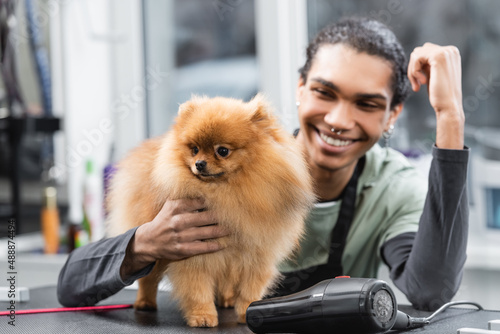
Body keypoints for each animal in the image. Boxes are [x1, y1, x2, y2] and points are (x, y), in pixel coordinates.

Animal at [107, 93, 314, 326]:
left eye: (222, 151)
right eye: (194, 149)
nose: (199, 163)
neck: (227, 193)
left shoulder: (256, 254)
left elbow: (250, 290)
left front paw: (246, 312)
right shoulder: (194, 255)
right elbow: (198, 289)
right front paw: (203, 316)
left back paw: (226, 299)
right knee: (148, 279)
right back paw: (145, 302)